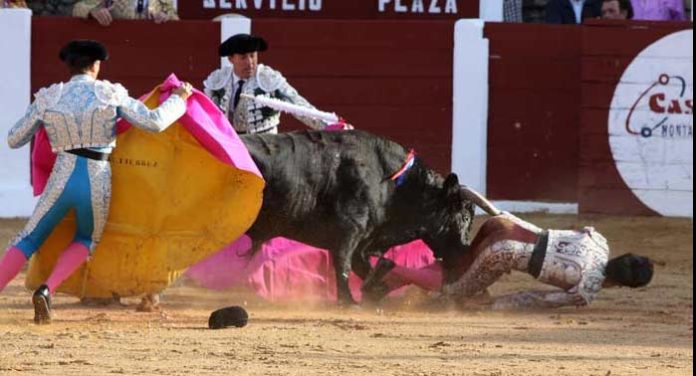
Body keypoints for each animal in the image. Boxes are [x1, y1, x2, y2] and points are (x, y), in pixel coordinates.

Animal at [239, 131, 478, 304]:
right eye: (465, 216)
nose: (465, 252)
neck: (393, 183)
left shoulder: (364, 238)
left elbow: (364, 266)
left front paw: (376, 290)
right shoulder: (350, 229)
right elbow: (343, 263)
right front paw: (348, 301)